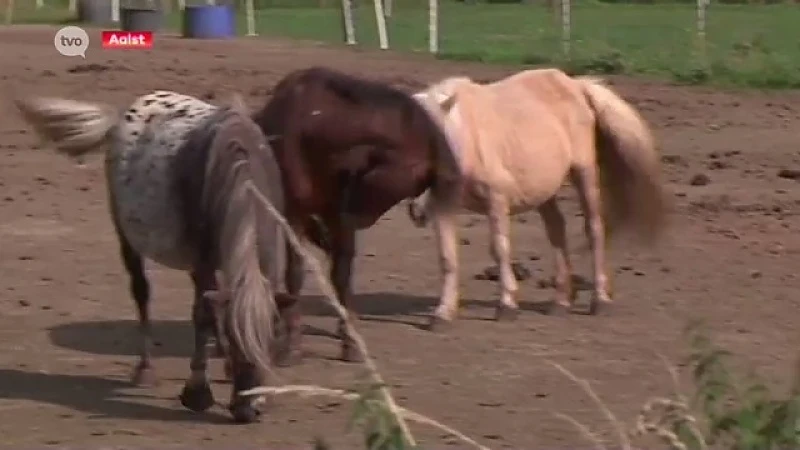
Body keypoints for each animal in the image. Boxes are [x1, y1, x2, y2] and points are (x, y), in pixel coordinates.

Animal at [250, 66, 462, 362]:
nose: (419, 213)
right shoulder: (296, 215)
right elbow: (296, 272)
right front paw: (292, 342)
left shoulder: (339, 217)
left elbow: (342, 274)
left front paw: (349, 338)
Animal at [406, 67, 668, 326]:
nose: (416, 211)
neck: (468, 138)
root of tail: (575, 85)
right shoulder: (443, 208)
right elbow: (447, 256)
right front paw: (443, 313)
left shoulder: (497, 201)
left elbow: (499, 248)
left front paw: (507, 305)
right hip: (543, 191)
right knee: (557, 229)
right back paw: (560, 301)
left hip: (584, 173)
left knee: (594, 229)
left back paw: (600, 300)